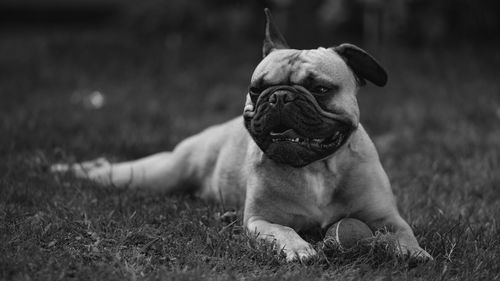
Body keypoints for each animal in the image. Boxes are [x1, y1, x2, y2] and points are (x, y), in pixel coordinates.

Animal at [52, 9, 432, 262]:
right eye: (256, 89)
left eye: (321, 89)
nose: (279, 97)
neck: (317, 170)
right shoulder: (261, 220)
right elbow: (283, 230)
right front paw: (299, 248)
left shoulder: (387, 217)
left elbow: (404, 233)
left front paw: (414, 253)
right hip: (155, 174)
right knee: (110, 171)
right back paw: (67, 170)